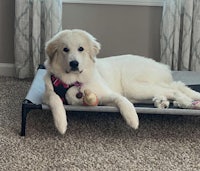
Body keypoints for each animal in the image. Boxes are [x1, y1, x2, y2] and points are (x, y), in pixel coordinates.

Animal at [43, 29, 200, 134]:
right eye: (65, 49)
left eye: (81, 49)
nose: (74, 63)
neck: (73, 82)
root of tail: (162, 66)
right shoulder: (47, 93)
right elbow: (54, 98)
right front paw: (61, 123)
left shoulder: (106, 93)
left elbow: (122, 101)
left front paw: (132, 119)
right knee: (174, 87)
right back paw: (166, 102)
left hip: (134, 87)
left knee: (173, 89)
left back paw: (185, 102)